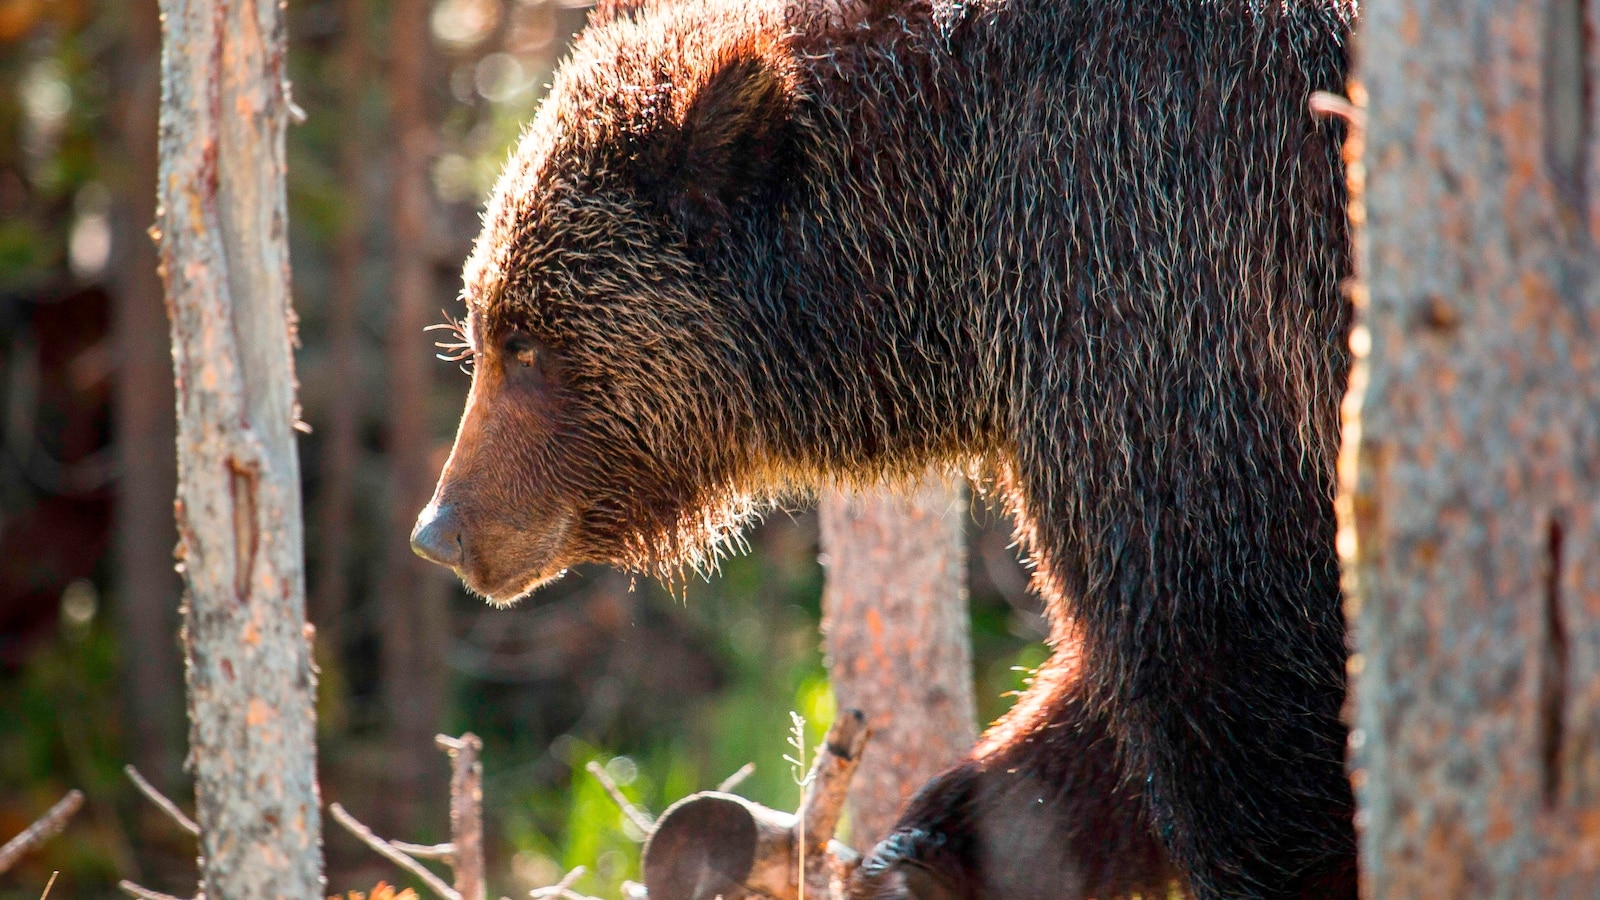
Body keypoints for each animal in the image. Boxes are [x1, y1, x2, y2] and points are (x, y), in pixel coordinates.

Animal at [409, 3, 1350, 890]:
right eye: (480, 326)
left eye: (523, 342)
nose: (440, 529)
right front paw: (930, 850)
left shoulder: (1160, 278)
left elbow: (1225, 648)